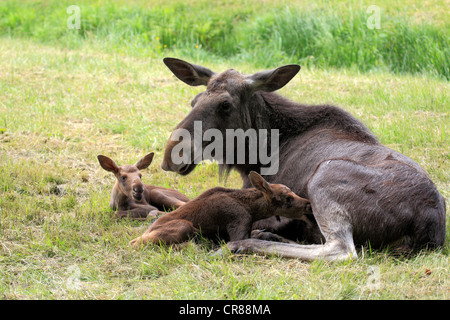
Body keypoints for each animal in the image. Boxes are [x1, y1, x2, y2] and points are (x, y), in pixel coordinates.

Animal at [130, 171, 312, 246]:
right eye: (288, 198)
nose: (308, 204)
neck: (253, 209)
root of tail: (146, 231)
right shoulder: (238, 226)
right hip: (184, 226)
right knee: (136, 243)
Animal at [160, 57, 444, 262]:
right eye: (194, 101)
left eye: (225, 105)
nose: (171, 155)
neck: (256, 154)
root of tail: (431, 228)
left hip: (325, 172)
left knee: (341, 250)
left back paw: (242, 244)